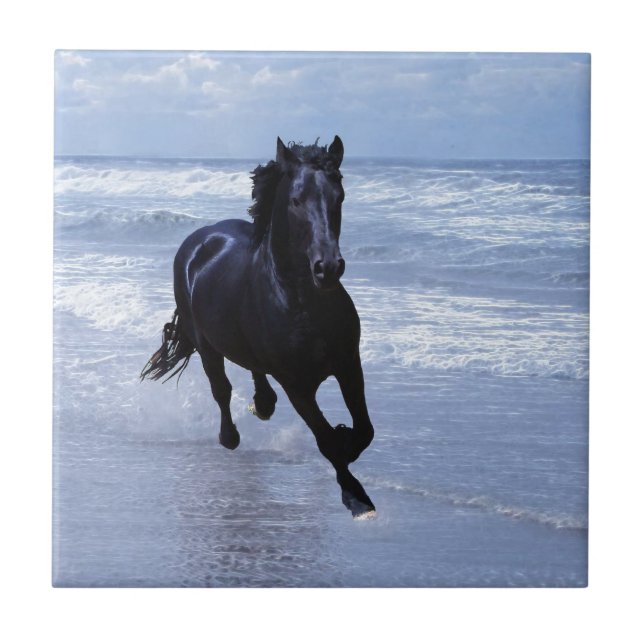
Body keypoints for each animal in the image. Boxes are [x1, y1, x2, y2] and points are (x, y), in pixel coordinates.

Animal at [141, 136, 376, 518]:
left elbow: (365, 430)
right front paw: (357, 498)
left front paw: (348, 442)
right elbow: (326, 440)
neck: (302, 303)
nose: (328, 268)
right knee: (220, 389)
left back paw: (263, 404)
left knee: (254, 370)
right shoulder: (297, 385)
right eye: (296, 200)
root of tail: (199, 238)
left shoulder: (348, 365)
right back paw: (229, 437)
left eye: (339, 196)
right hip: (205, 343)